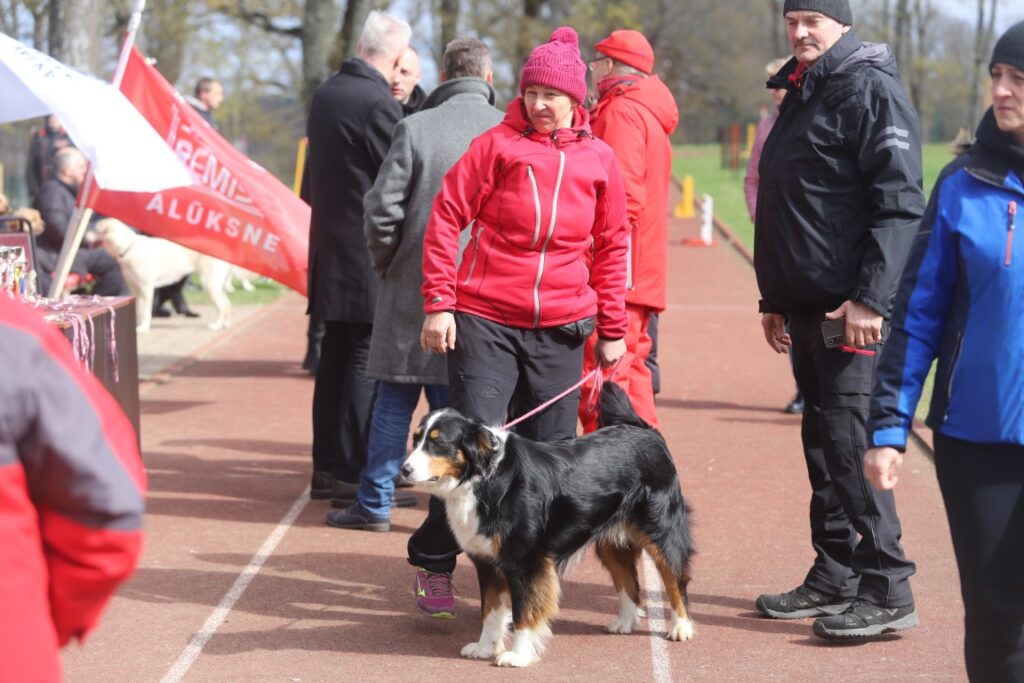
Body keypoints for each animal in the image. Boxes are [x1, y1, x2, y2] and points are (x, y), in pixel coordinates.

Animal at [93, 218, 232, 333]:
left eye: (95, 231)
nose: (86, 238)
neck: (129, 248)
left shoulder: (146, 288)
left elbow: (145, 311)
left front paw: (143, 327)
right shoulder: (134, 288)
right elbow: (138, 309)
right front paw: (137, 324)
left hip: (208, 282)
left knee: (223, 305)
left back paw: (217, 326)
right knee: (226, 304)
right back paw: (225, 324)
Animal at [400, 382, 695, 668]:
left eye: (438, 443)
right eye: (416, 440)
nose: (404, 470)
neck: (485, 479)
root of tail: (643, 430)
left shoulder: (525, 562)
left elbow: (523, 612)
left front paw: (518, 656)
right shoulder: (487, 561)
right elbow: (491, 611)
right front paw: (485, 648)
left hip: (662, 530)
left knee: (674, 579)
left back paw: (681, 627)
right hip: (610, 540)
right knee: (628, 579)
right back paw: (625, 621)